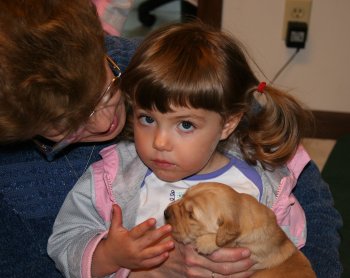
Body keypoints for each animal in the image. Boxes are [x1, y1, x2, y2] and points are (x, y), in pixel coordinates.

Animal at [165, 182, 316, 278]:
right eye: (183, 195)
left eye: (191, 215)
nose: (165, 213)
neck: (241, 211)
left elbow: (227, 241)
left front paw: (205, 242)